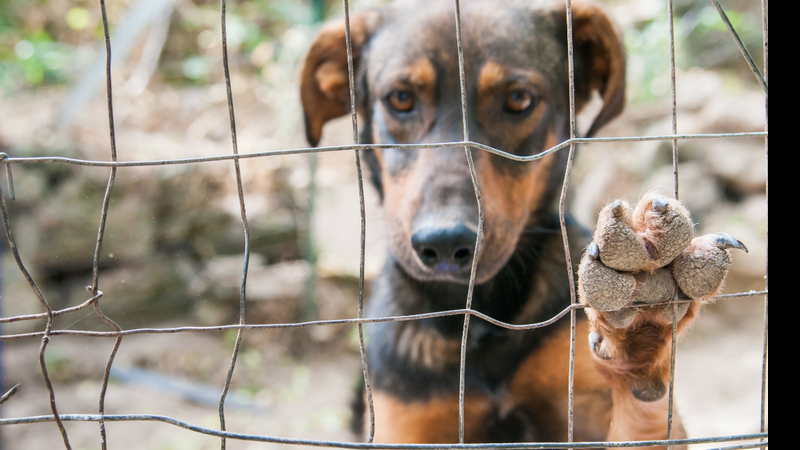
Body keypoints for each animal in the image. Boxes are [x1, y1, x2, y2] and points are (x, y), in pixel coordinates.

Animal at [296, 0, 748, 444]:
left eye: (518, 99)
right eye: (401, 98)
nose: (444, 244)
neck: (480, 312)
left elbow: (641, 410)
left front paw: (644, 307)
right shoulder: (407, 420)